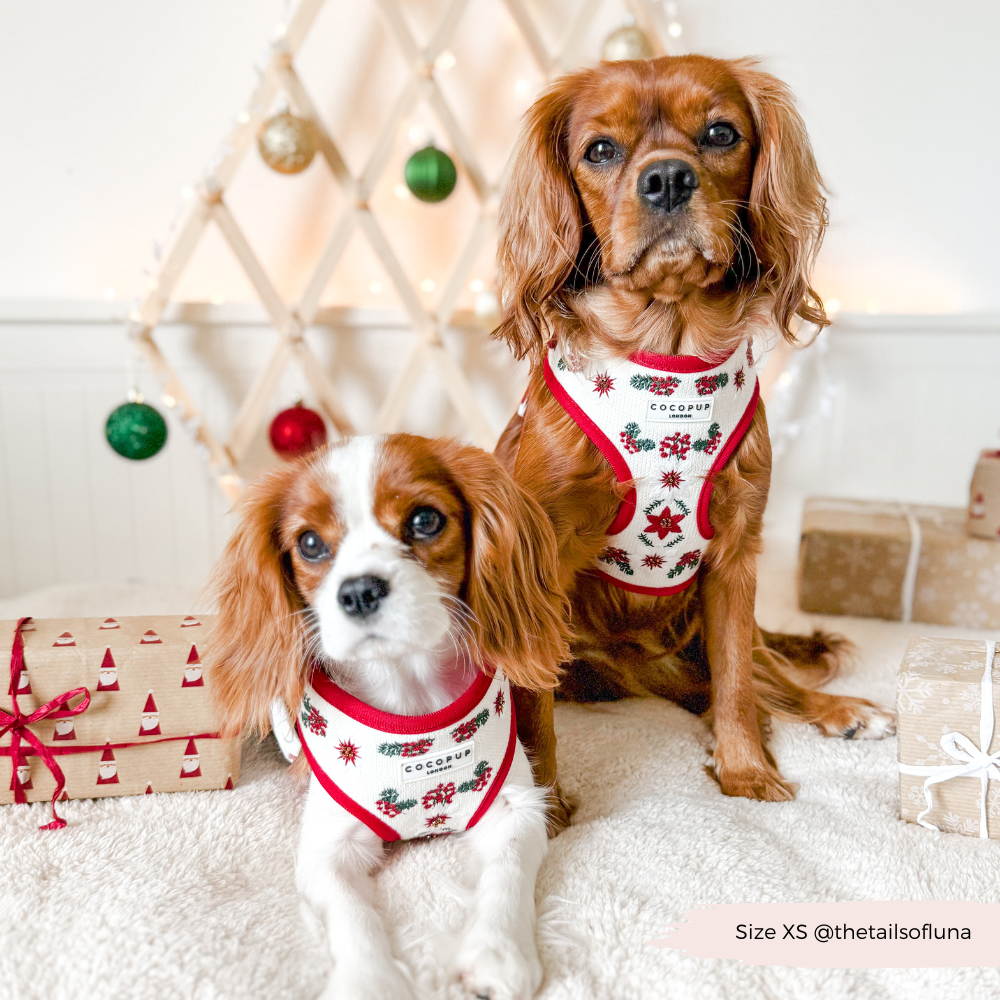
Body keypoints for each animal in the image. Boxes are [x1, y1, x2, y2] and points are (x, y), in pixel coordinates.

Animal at [209, 436, 572, 1000]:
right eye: (309, 543)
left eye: (425, 520)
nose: (359, 590)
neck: (408, 694)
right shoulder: (326, 849)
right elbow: (352, 914)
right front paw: (370, 980)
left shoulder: (516, 807)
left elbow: (509, 872)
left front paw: (498, 951)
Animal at [492, 54, 892, 820]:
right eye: (600, 150)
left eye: (719, 133)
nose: (669, 179)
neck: (667, 356)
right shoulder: (541, 569)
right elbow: (533, 715)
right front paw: (547, 809)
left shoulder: (735, 559)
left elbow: (737, 683)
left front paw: (745, 773)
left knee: (762, 676)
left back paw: (838, 711)